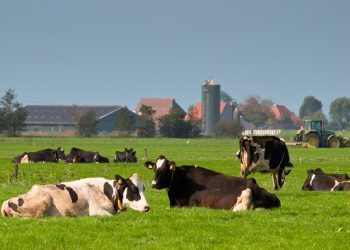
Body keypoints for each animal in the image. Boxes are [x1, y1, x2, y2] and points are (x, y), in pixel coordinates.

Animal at [1, 173, 150, 218]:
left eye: (143, 188)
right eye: (133, 189)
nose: (147, 207)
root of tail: (6, 202)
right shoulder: (96, 211)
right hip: (42, 203)